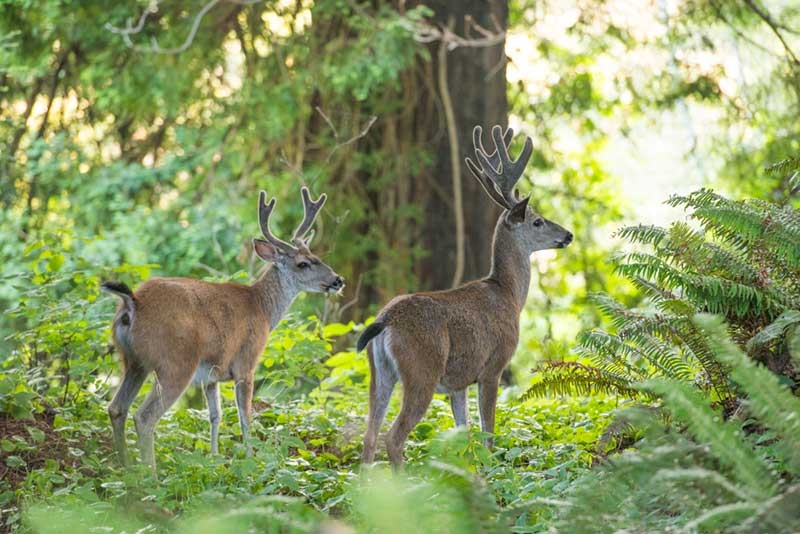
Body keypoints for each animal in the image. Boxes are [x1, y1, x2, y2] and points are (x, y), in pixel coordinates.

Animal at [101, 186, 342, 472]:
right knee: (144, 416)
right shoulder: (246, 362)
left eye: (317, 257)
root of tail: (132, 304)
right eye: (303, 263)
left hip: (134, 361)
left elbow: (214, 416)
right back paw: (150, 474)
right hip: (174, 363)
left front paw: (214, 459)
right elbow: (245, 417)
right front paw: (250, 461)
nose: (338, 280)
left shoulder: (211, 375)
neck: (262, 307)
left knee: (117, 408)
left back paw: (125, 468)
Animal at [358, 125, 576, 468]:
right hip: (421, 369)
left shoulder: (458, 382)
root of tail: (385, 320)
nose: (567, 235)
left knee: (368, 436)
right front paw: (492, 469)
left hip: (379, 373)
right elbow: (488, 433)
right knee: (393, 436)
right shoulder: (493, 366)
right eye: (537, 220)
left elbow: (464, 433)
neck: (509, 294)